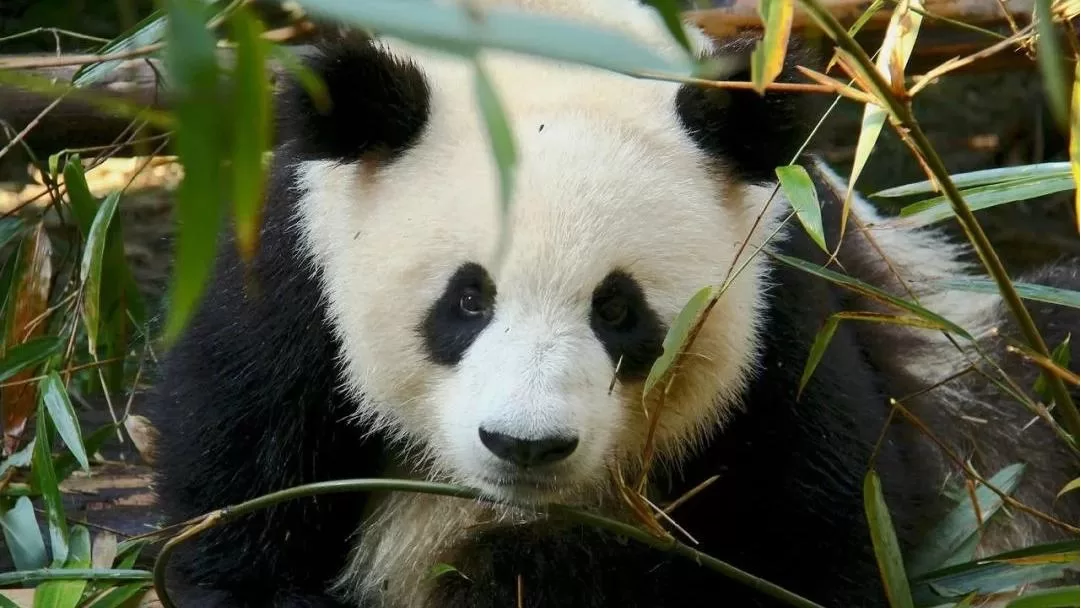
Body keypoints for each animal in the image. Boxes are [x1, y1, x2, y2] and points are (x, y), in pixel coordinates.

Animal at [145, 0, 1080, 607]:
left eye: (618, 311)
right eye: (467, 299)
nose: (524, 446)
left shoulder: (782, 319)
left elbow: (823, 536)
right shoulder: (287, 301)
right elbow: (238, 530)